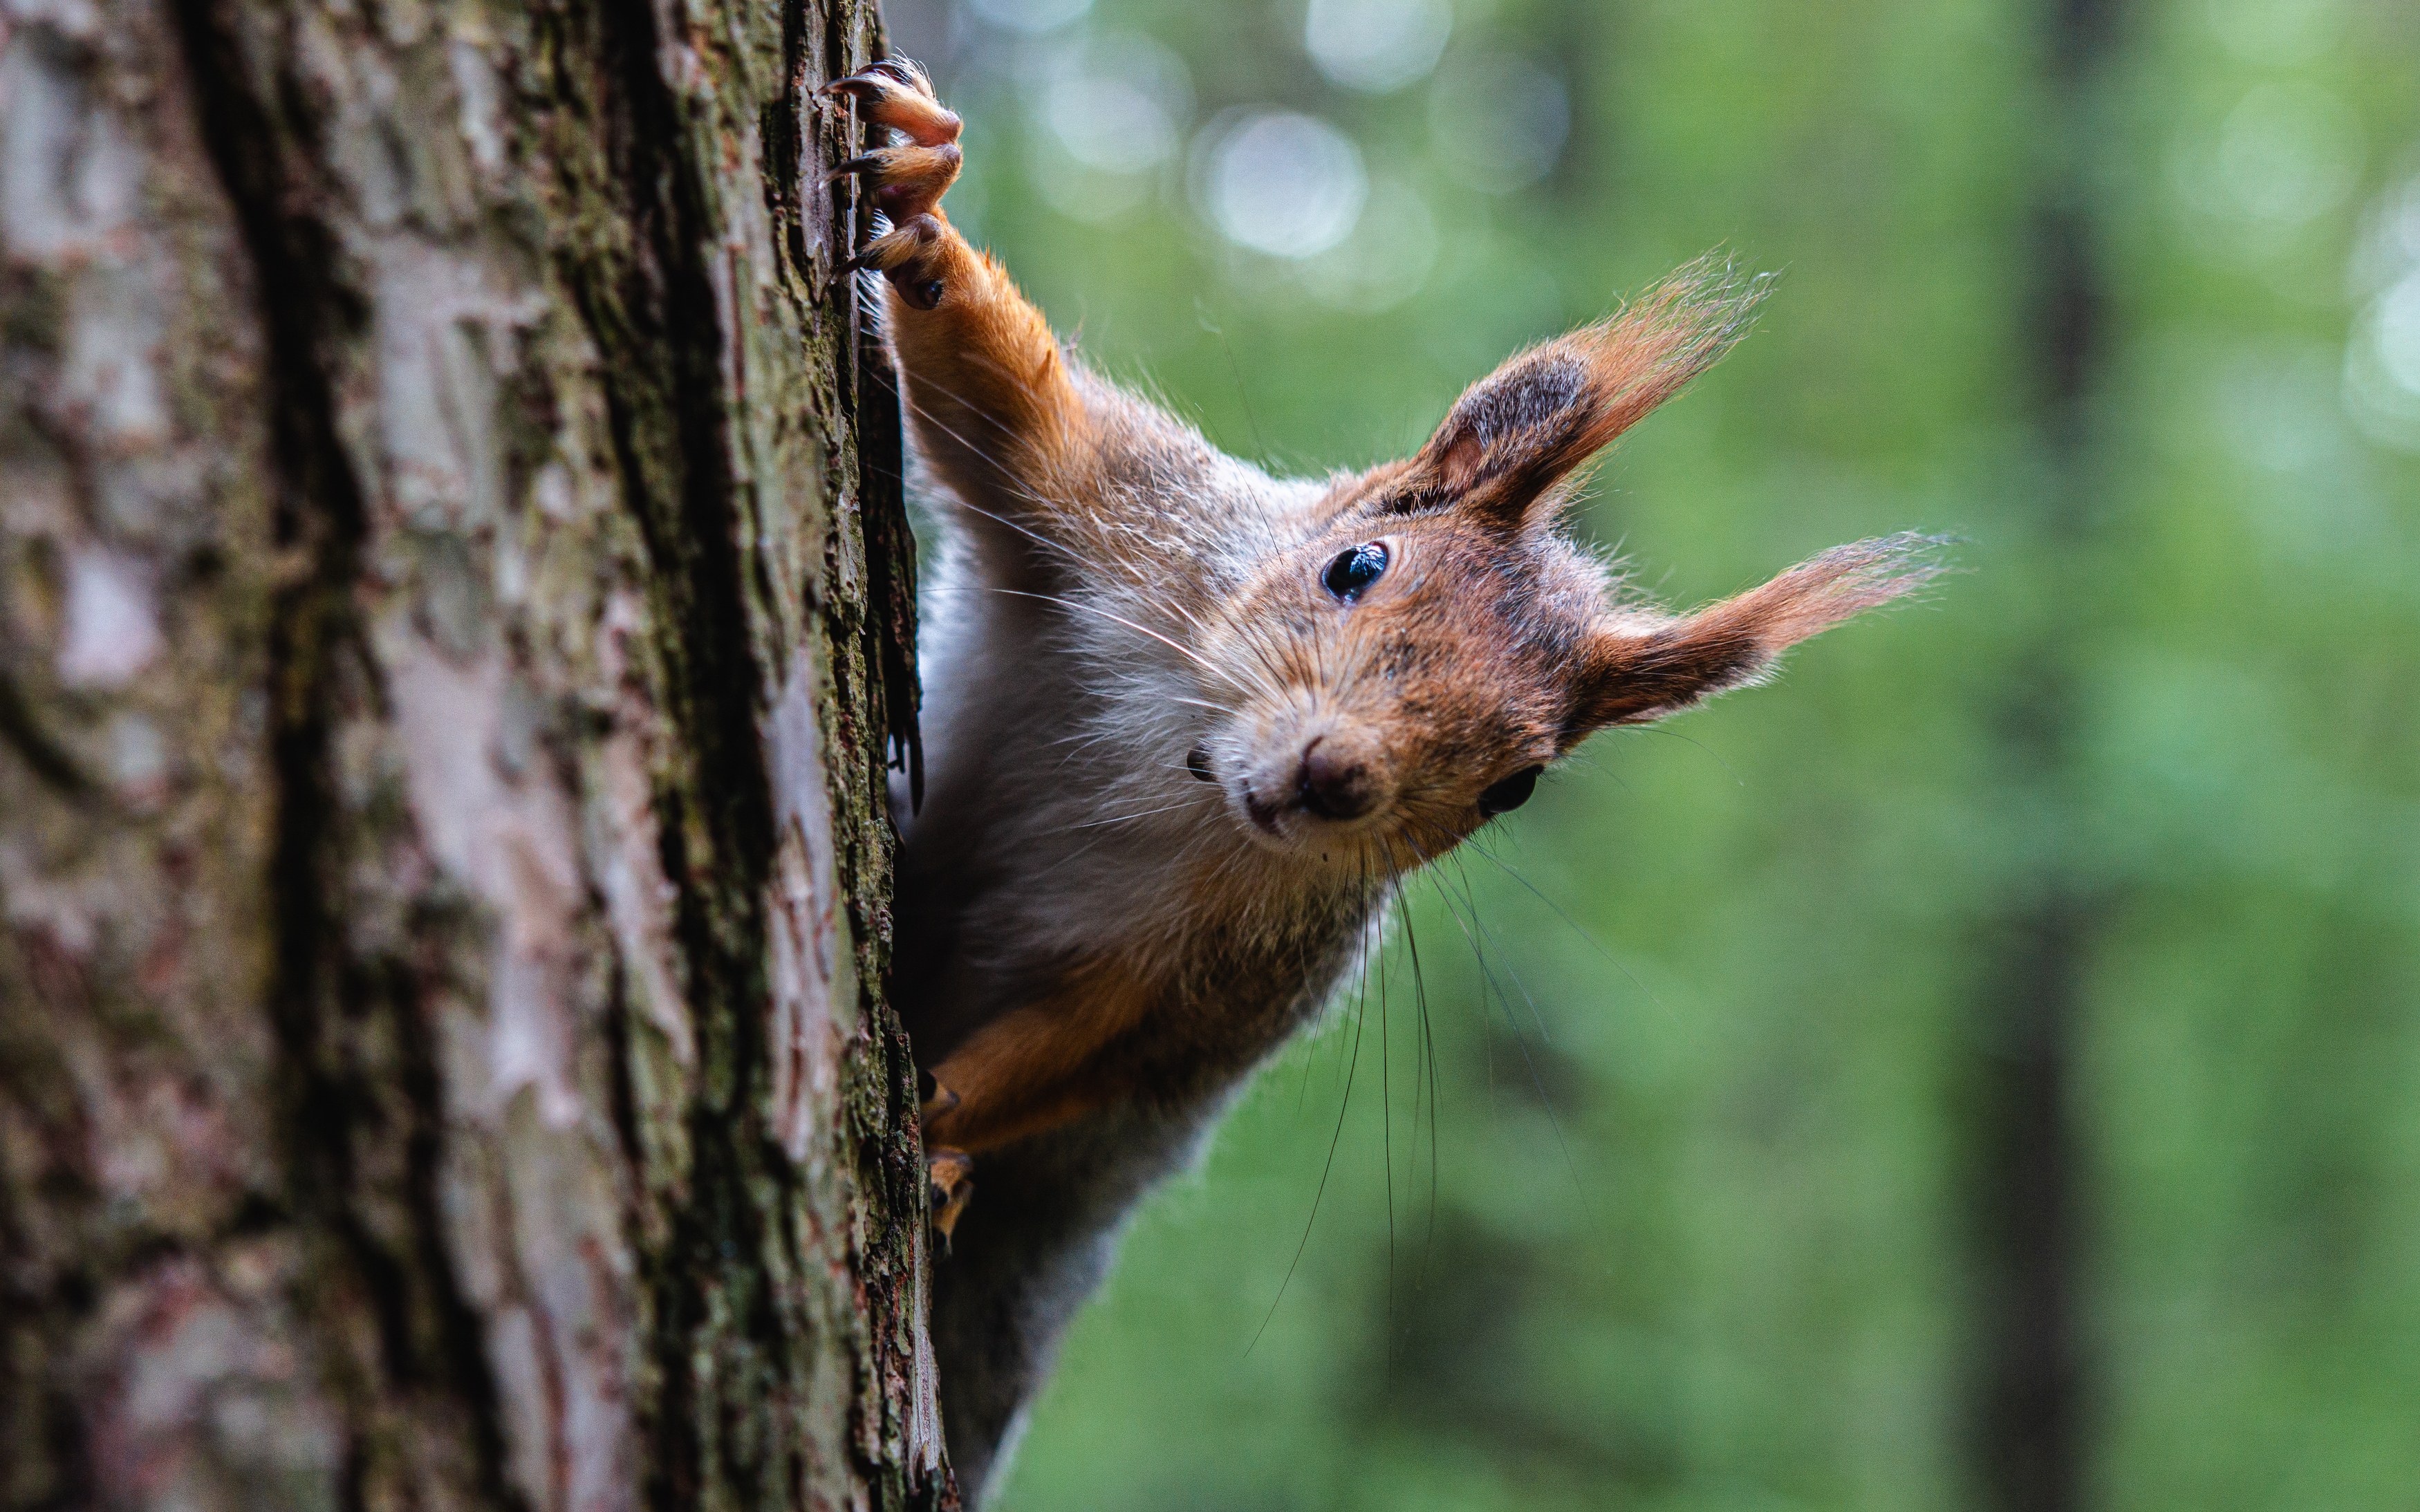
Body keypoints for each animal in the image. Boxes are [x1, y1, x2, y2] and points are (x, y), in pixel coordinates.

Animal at [823, 55, 1936, 1500]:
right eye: (1356, 562)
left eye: (1519, 786)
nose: (1336, 777)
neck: (1189, 773)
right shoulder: (1122, 515)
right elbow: (1003, 403)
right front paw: (920, 186)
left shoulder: (1227, 976)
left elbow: (1094, 1045)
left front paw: (943, 1120)